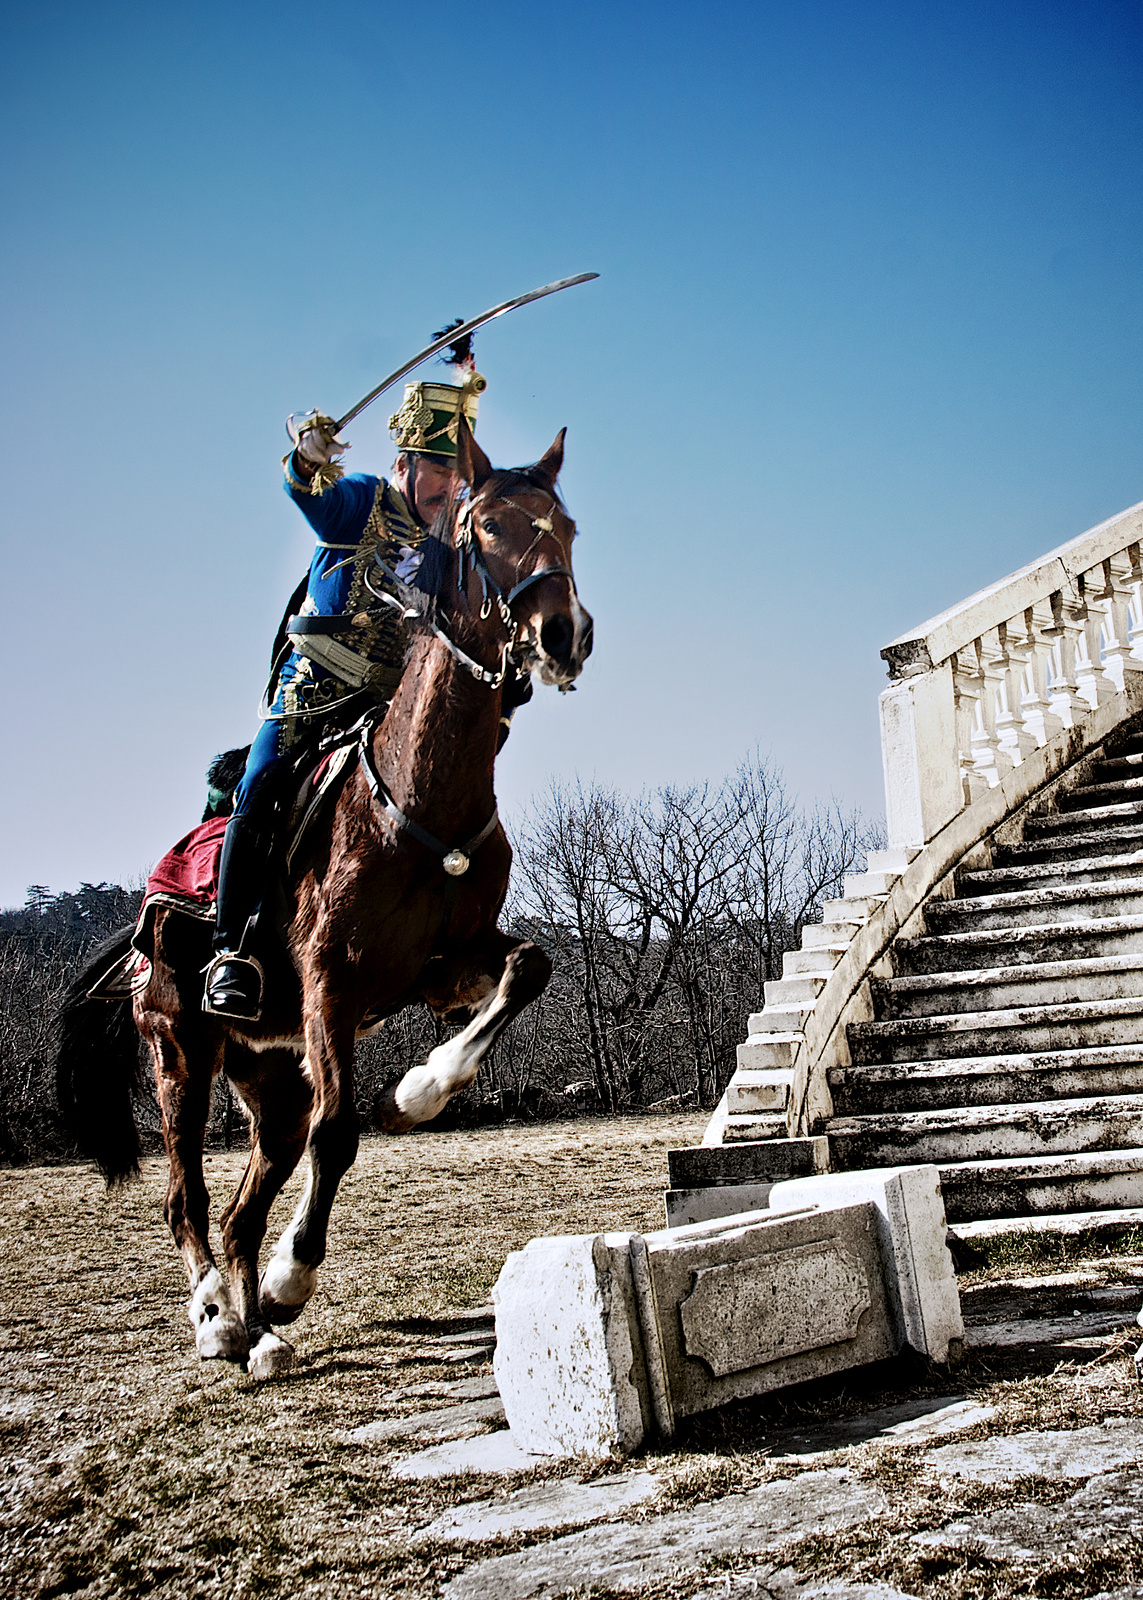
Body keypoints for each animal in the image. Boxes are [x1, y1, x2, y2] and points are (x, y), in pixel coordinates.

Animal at [55, 422, 589, 1376]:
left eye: (565, 524)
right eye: (487, 524)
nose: (562, 632)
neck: (418, 796)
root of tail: (141, 925)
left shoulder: (447, 967)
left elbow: (529, 967)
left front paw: (417, 1092)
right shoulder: (332, 985)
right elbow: (338, 1133)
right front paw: (292, 1278)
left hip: (268, 1078)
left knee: (244, 1206)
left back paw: (260, 1333)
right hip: (181, 1053)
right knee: (188, 1199)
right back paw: (217, 1316)